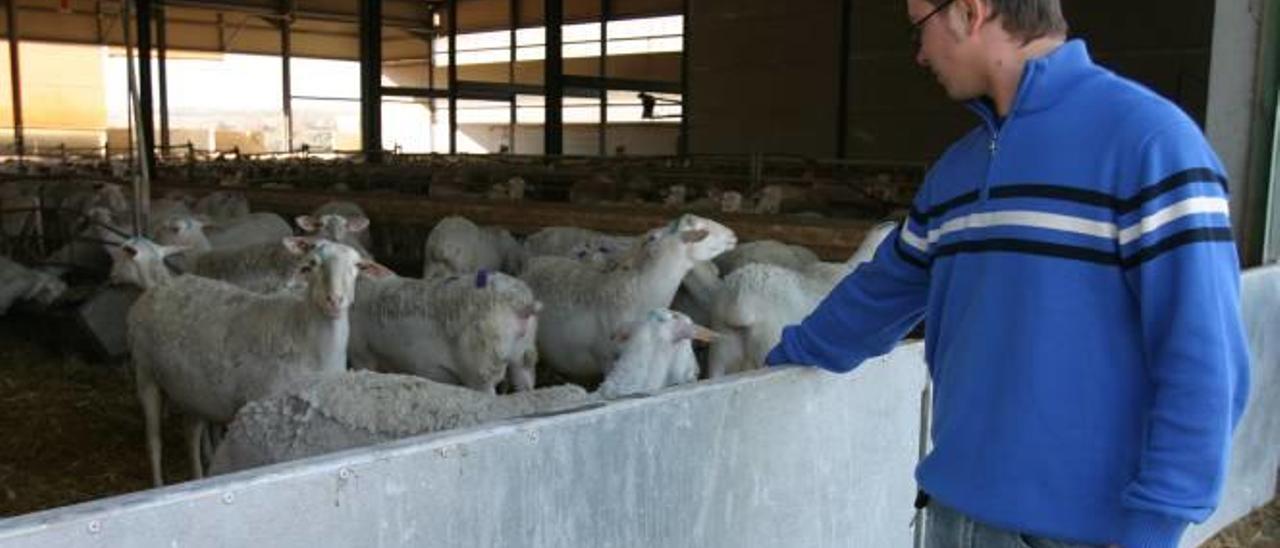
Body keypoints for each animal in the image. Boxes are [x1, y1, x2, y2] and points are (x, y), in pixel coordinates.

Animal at [130, 239, 391, 483]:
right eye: (312, 264)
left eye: (357, 266)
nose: (334, 300)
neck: (302, 332)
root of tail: (160, 285)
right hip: (145, 373)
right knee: (154, 442)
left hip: (190, 390)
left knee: (190, 432)